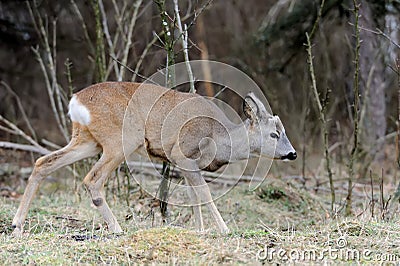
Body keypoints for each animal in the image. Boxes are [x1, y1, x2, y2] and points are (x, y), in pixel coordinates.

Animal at [11, 82, 296, 236]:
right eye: (274, 133)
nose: (292, 153)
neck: (219, 136)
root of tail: (76, 102)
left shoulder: (184, 163)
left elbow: (193, 195)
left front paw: (200, 230)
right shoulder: (182, 153)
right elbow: (204, 192)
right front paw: (224, 229)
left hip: (87, 140)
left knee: (43, 163)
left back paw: (17, 225)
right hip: (121, 140)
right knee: (92, 179)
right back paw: (117, 228)